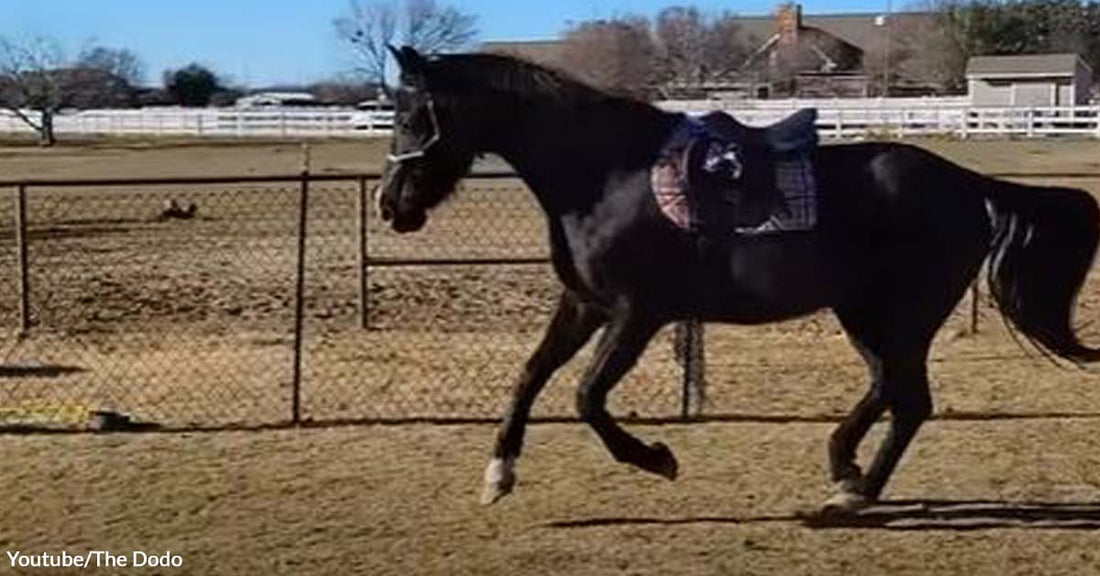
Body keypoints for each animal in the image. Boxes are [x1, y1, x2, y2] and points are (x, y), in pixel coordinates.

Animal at [378, 46, 1100, 512]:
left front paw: (657, 458)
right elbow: (529, 376)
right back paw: (849, 477)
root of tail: (971, 185)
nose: (390, 205)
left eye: (413, 118)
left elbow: (586, 396)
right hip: (868, 315)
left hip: (899, 316)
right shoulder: (583, 304)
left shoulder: (637, 313)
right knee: (893, 393)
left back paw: (853, 489)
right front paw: (498, 474)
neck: (605, 175)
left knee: (907, 399)